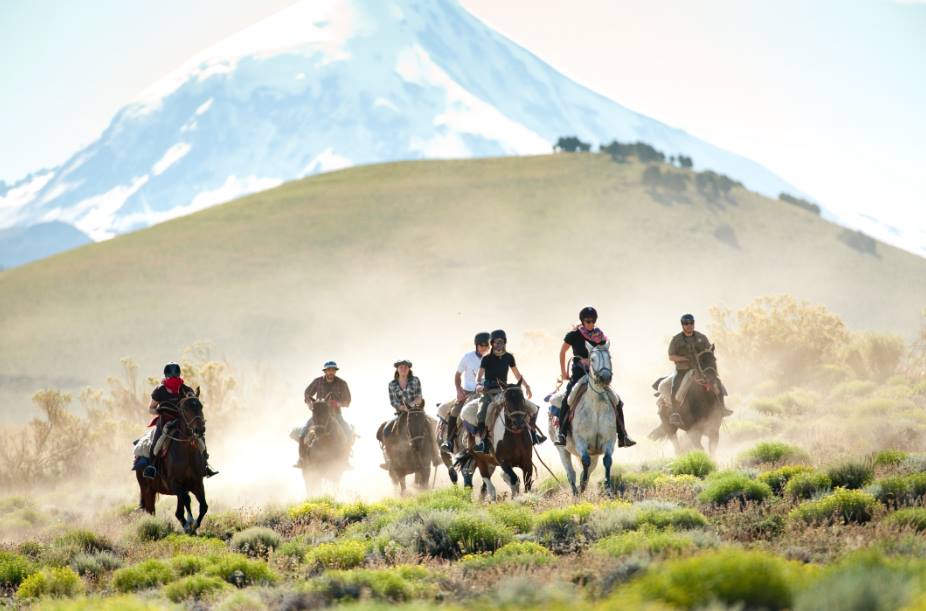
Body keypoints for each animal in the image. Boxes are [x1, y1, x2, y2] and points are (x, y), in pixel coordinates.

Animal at [136, 392, 208, 536]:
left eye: (201, 406)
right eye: (185, 408)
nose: (200, 429)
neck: (187, 451)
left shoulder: (197, 483)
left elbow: (203, 506)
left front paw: (194, 525)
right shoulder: (174, 483)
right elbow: (187, 500)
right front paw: (189, 524)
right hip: (147, 489)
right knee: (151, 510)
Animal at [556, 342, 620, 500]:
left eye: (609, 357)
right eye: (592, 359)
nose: (605, 377)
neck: (596, 407)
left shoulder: (609, 440)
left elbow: (607, 461)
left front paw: (608, 487)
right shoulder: (581, 441)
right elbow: (585, 461)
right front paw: (582, 485)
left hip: (594, 454)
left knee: (588, 469)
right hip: (562, 450)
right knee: (571, 473)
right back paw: (575, 493)